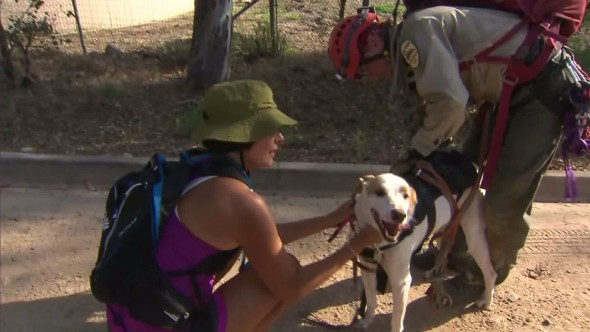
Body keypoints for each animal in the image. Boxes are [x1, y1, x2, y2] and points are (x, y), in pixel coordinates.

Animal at [354, 164, 498, 332]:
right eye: (380, 192)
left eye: (406, 196)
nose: (400, 215)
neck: (379, 243)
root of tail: (475, 167)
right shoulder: (367, 268)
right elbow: (371, 300)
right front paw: (366, 321)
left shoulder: (401, 281)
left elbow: (396, 319)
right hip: (448, 226)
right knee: (443, 251)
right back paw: (433, 271)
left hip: (474, 236)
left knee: (490, 272)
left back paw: (486, 300)